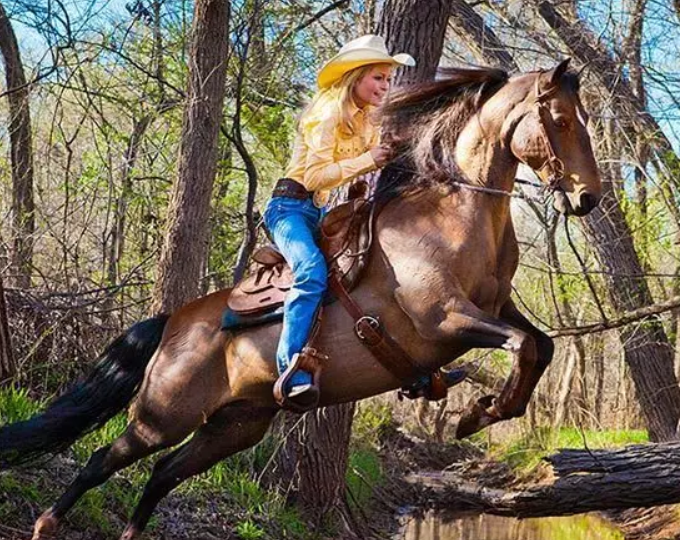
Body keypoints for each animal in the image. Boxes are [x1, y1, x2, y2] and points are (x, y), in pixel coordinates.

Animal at [2, 60, 600, 540]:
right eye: (561, 120)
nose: (587, 197)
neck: (455, 213)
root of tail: (173, 322)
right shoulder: (444, 319)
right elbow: (524, 346)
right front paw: (479, 414)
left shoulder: (495, 310)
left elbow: (540, 346)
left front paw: (482, 413)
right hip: (164, 415)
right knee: (103, 459)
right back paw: (46, 523)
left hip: (235, 425)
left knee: (162, 473)